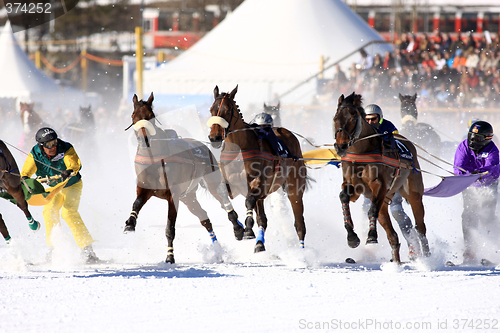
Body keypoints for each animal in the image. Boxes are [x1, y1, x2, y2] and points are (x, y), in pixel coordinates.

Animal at [123, 92, 244, 264]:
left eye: (151, 116)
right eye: (133, 116)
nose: (143, 139)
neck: (154, 158)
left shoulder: (173, 195)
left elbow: (170, 228)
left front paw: (170, 256)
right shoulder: (145, 187)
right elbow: (136, 203)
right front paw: (130, 223)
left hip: (210, 182)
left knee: (224, 201)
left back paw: (238, 227)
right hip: (188, 197)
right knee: (205, 219)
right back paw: (218, 251)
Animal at [207, 85, 308, 252]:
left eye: (228, 110)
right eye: (211, 110)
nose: (214, 137)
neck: (239, 150)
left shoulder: (260, 184)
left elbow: (249, 201)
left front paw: (247, 229)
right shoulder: (231, 183)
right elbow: (223, 195)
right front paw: (238, 229)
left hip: (295, 185)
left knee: (299, 222)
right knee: (263, 218)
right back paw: (260, 243)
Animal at [334, 91, 428, 262]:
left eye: (353, 118)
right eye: (335, 118)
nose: (340, 146)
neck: (362, 153)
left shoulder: (379, 185)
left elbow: (372, 210)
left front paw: (371, 236)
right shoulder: (353, 186)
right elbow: (344, 196)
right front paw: (352, 237)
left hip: (413, 193)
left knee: (420, 227)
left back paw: (427, 256)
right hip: (385, 201)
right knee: (393, 236)